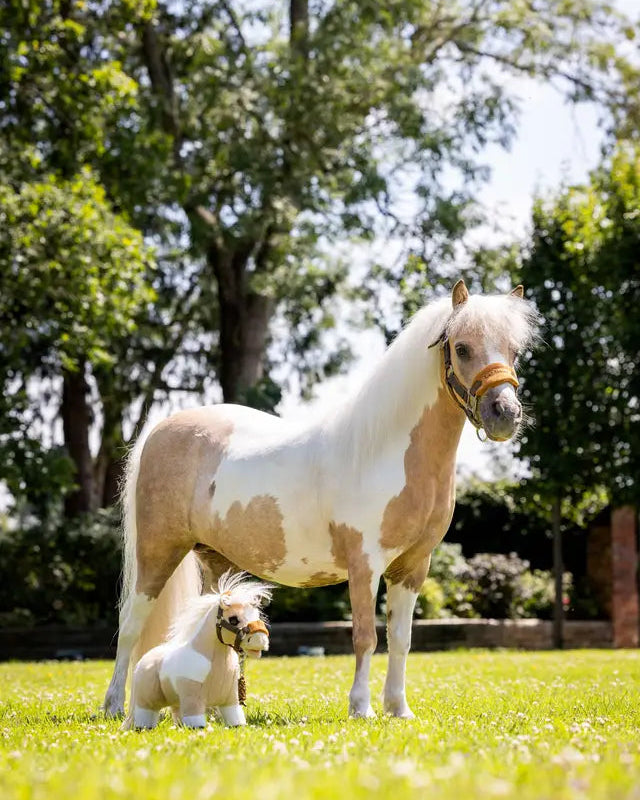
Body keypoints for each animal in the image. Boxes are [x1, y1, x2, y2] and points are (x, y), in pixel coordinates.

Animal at [122, 571, 271, 730]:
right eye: (233, 619)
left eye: (257, 615)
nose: (260, 641)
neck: (217, 661)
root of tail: (144, 659)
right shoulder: (193, 697)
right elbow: (196, 721)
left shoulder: (230, 700)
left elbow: (236, 720)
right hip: (147, 700)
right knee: (146, 714)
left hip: (176, 700)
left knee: (176, 713)